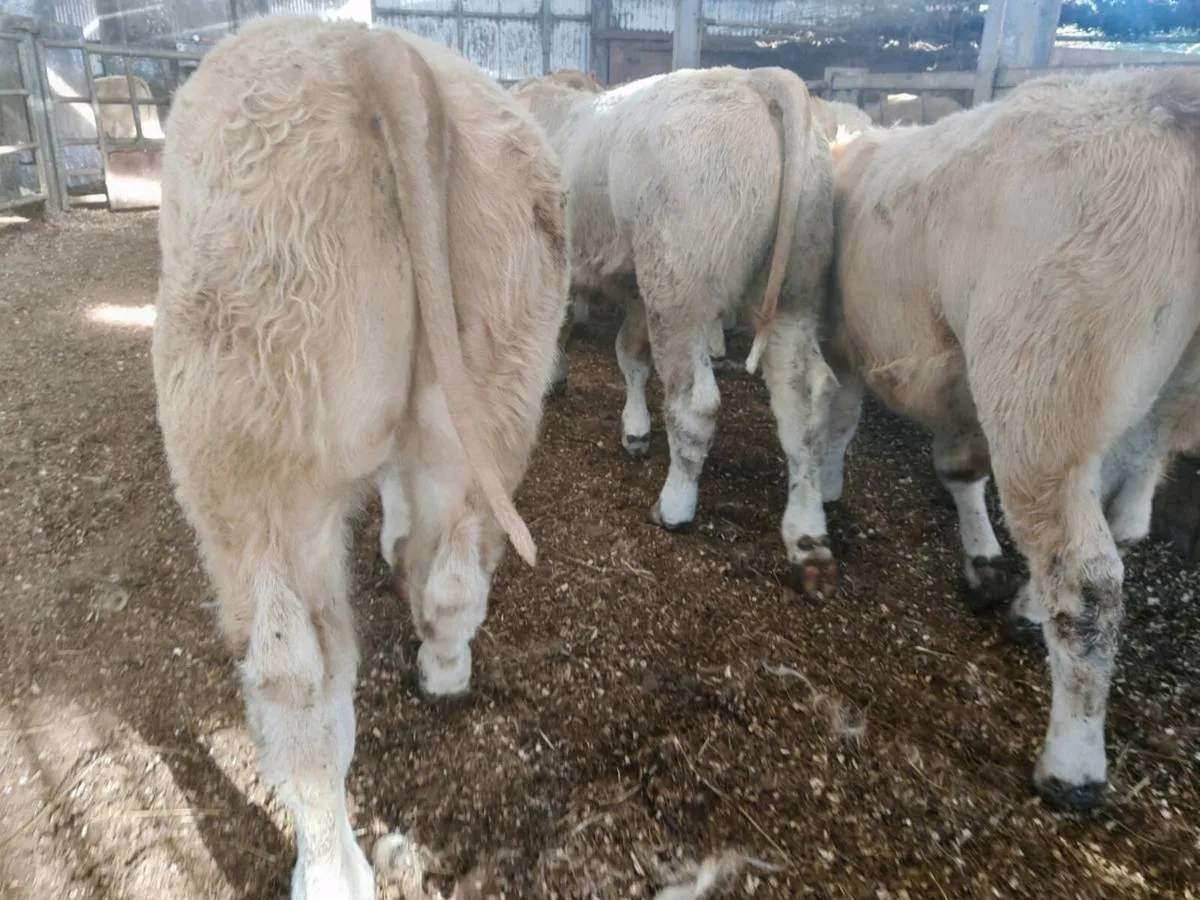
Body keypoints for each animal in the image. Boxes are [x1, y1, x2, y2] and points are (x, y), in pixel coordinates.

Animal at [152, 16, 568, 899]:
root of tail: (372, 50)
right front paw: (392, 544)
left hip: (250, 451)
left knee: (296, 678)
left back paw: (329, 872)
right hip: (492, 394)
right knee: (454, 576)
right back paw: (441, 671)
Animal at [511, 67, 839, 590]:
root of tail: (756, 79)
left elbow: (566, 331)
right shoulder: (633, 288)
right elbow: (630, 355)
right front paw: (634, 429)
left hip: (679, 289)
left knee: (695, 403)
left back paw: (675, 506)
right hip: (795, 290)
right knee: (806, 402)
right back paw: (807, 538)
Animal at [827, 65, 1200, 810]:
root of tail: (1170, 101)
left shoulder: (864, 349)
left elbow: (849, 423)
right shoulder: (955, 376)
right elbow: (961, 467)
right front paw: (984, 562)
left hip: (1045, 384)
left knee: (1088, 578)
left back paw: (1073, 765)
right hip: (1151, 397)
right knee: (1119, 513)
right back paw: (1031, 610)